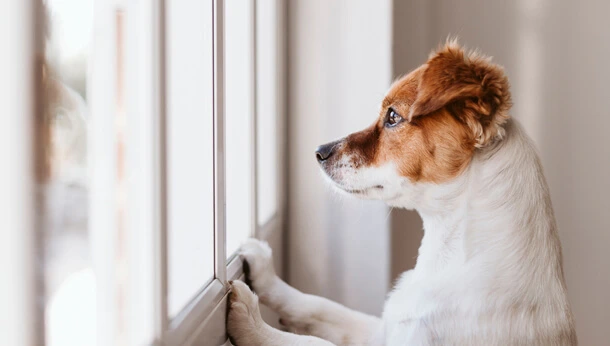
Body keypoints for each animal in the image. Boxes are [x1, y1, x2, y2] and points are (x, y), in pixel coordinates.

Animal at [227, 41, 576, 346]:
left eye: (393, 117)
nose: (319, 152)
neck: (450, 255)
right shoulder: (383, 330)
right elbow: (320, 306)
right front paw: (266, 274)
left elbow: (310, 342)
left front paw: (252, 321)